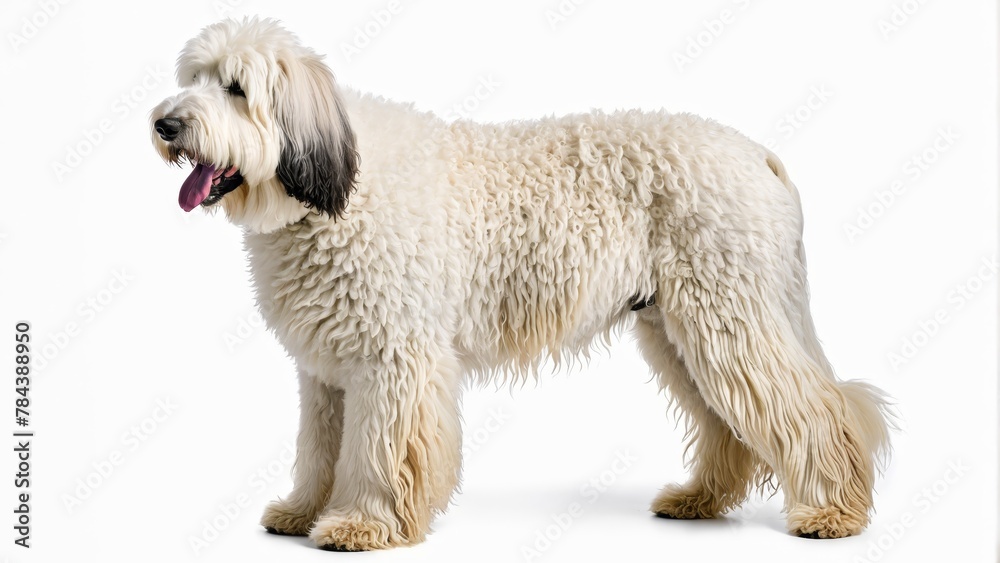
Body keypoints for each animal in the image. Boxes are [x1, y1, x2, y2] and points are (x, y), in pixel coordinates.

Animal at [146, 16, 892, 552]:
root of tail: (759, 153)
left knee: (819, 412)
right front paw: (303, 511)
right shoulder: (327, 372)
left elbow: (379, 451)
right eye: (193, 76)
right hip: (680, 328)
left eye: (236, 88)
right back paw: (700, 500)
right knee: (731, 427)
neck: (334, 189)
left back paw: (832, 511)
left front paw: (363, 524)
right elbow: (317, 450)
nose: (164, 123)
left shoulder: (393, 360)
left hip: (730, 319)